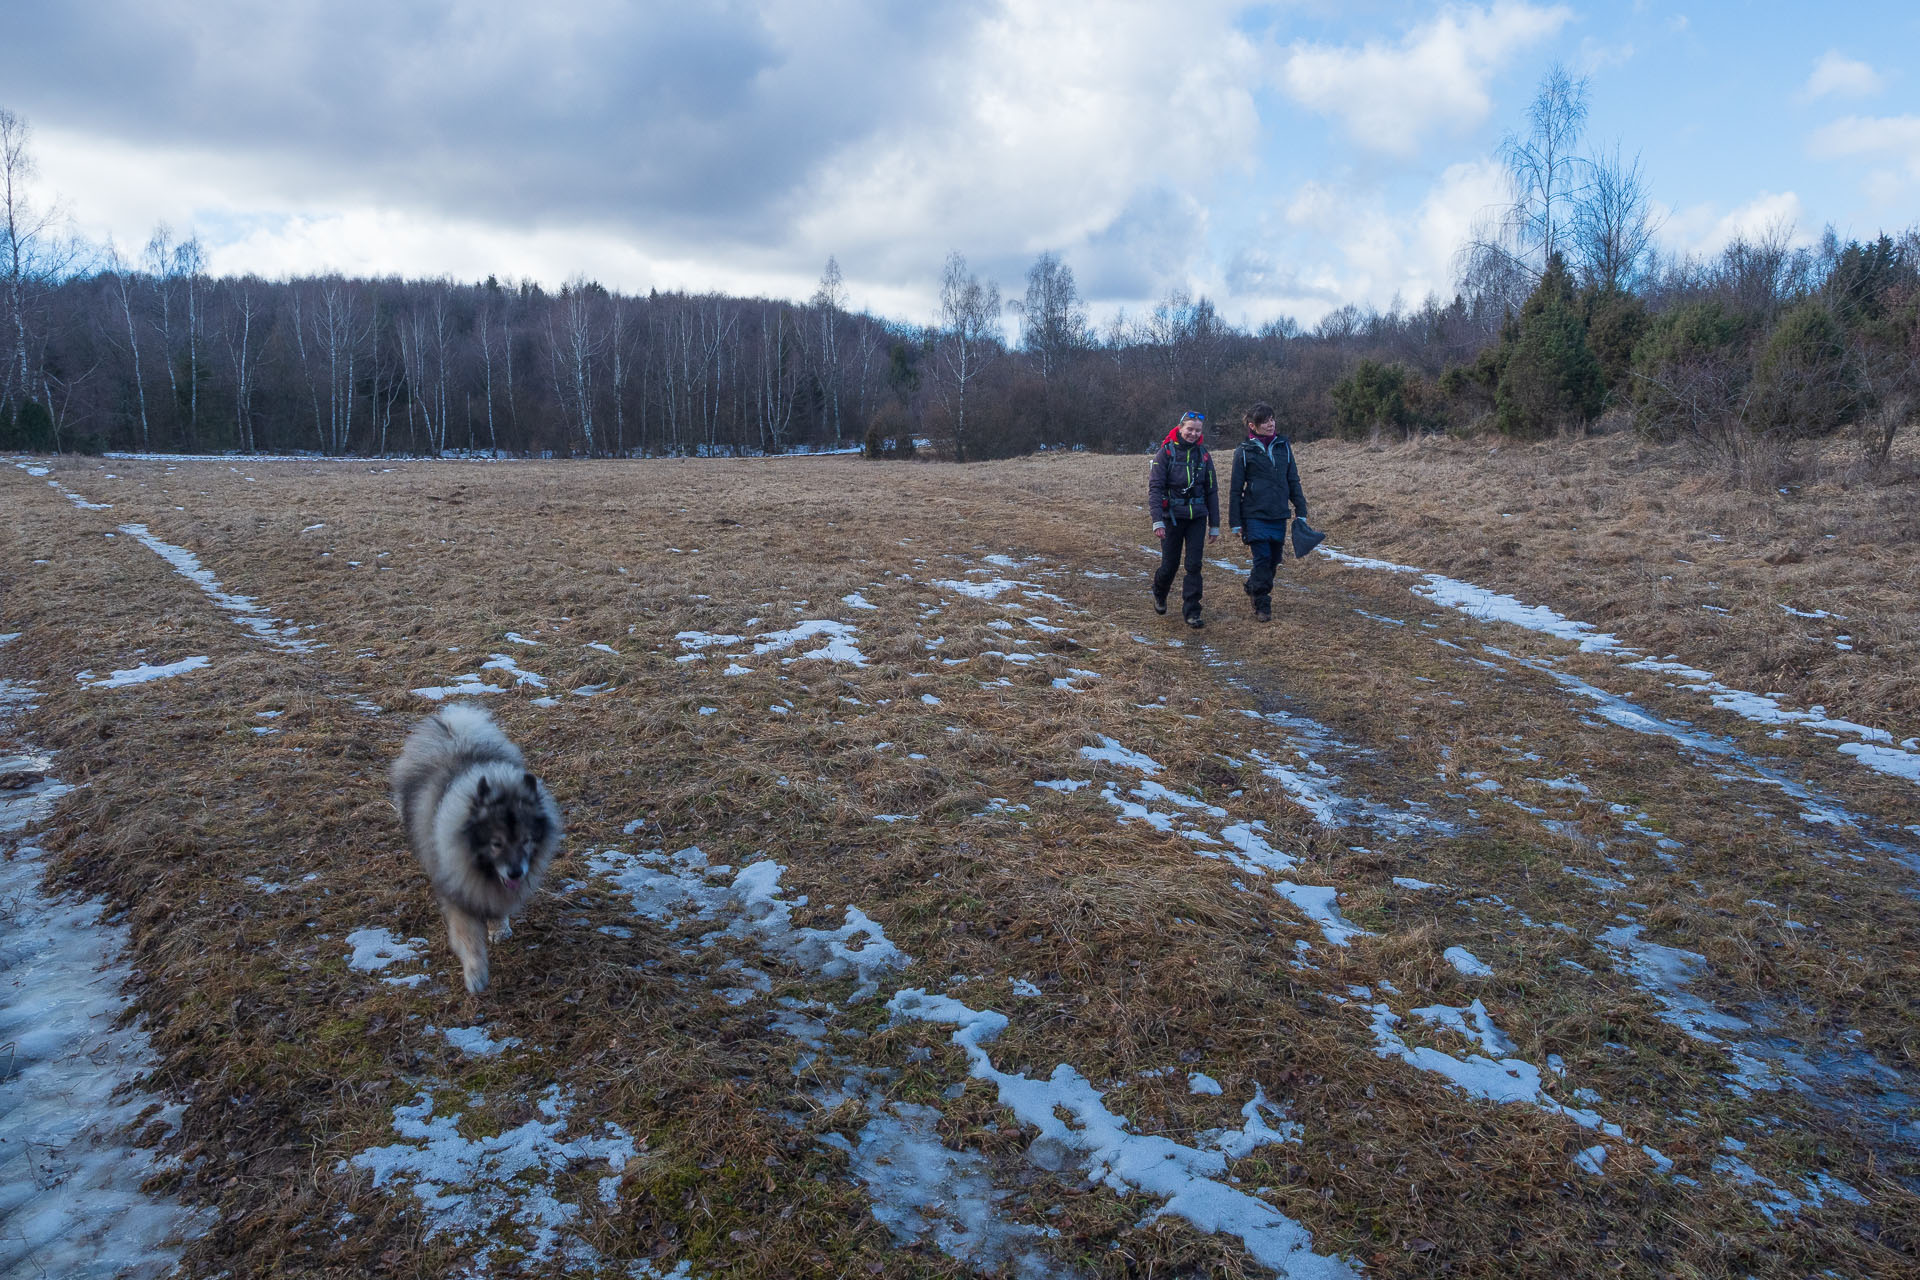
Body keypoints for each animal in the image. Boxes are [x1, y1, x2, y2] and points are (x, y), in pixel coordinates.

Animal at [389, 706, 560, 997]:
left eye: (526, 840)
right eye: (496, 843)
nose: (516, 873)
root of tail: (455, 734)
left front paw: (499, 928)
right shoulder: (458, 891)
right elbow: (468, 938)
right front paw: (476, 976)